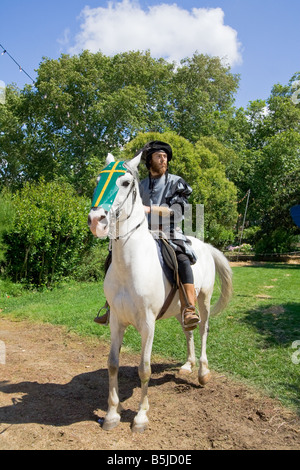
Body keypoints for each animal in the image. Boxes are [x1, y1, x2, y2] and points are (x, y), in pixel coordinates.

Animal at [88, 152, 233, 432]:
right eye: (99, 179)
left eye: (125, 182)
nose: (96, 221)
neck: (130, 264)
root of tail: (205, 246)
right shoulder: (116, 322)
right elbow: (112, 364)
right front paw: (111, 414)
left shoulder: (147, 323)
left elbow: (144, 369)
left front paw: (140, 417)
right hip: (180, 308)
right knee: (188, 329)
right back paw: (187, 365)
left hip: (204, 300)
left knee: (202, 330)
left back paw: (202, 372)